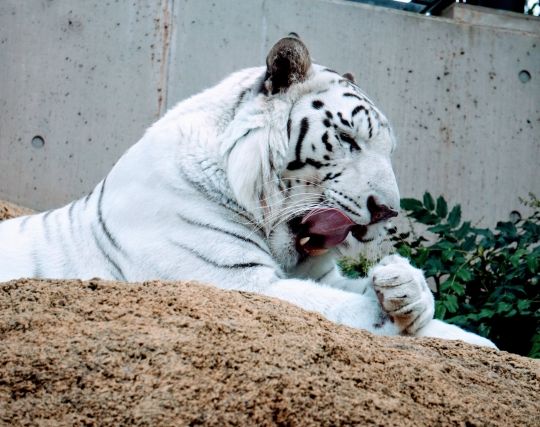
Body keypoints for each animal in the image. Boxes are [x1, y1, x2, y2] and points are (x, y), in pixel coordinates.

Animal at [0, 35, 496, 350]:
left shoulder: (318, 275)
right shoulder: (235, 281)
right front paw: (399, 310)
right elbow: (345, 309)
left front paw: (412, 292)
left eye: (388, 150)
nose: (387, 211)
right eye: (348, 139)